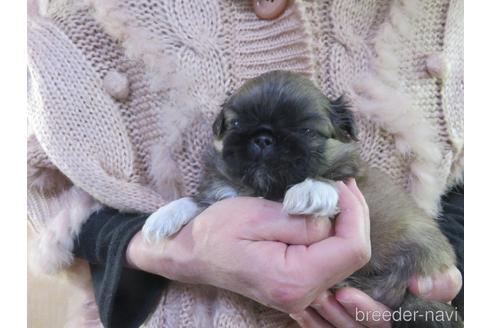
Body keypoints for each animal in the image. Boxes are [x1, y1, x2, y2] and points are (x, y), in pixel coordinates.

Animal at [141, 70, 462, 326]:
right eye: (235, 125)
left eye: (306, 130)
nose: (263, 138)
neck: (266, 189)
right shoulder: (223, 193)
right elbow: (200, 201)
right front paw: (164, 216)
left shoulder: (350, 177)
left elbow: (332, 177)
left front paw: (310, 189)